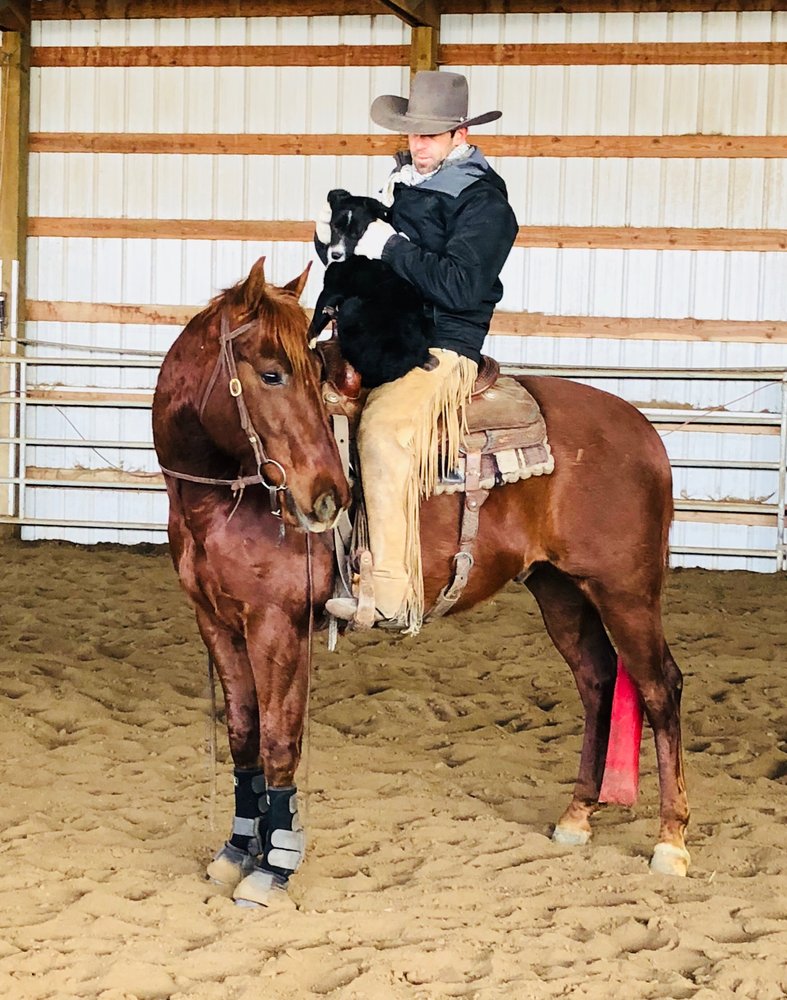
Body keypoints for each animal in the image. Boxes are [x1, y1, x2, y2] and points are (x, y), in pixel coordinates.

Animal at [153, 257, 690, 909]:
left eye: (309, 373)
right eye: (273, 373)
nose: (328, 497)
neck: (222, 499)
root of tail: (644, 432)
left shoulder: (278, 627)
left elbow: (281, 740)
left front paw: (273, 866)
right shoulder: (217, 623)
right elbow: (242, 736)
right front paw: (235, 850)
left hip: (627, 592)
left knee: (661, 688)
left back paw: (670, 842)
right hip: (559, 589)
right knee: (596, 681)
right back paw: (577, 816)